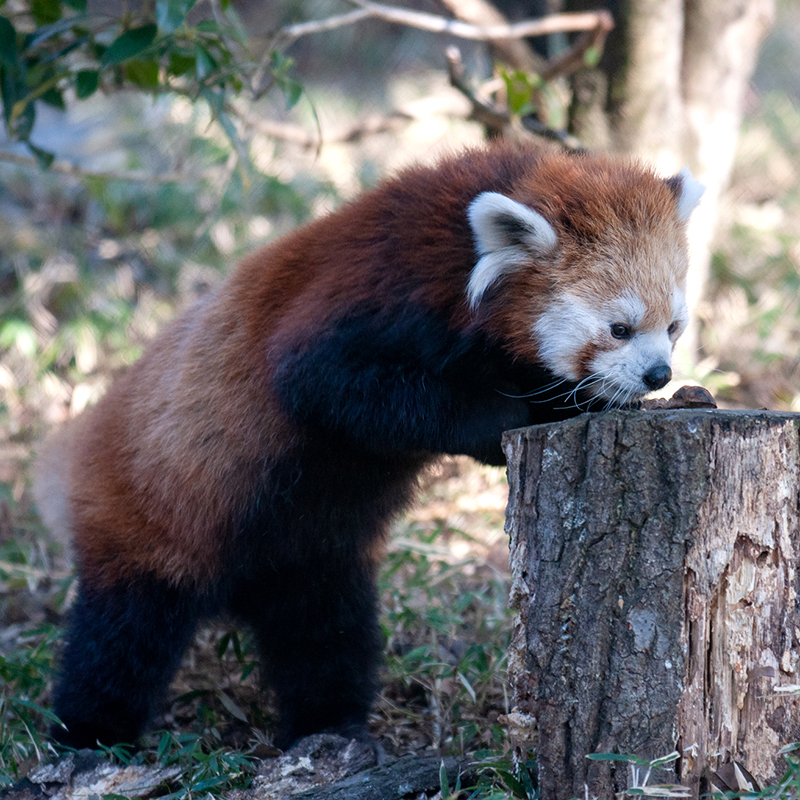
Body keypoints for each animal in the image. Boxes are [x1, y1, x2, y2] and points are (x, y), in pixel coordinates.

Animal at [34, 142, 704, 752]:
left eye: (672, 327)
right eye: (618, 328)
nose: (658, 375)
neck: (463, 255)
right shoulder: (373, 297)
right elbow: (333, 384)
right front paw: (511, 415)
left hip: (310, 556)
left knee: (324, 637)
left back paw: (331, 725)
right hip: (154, 519)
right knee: (124, 637)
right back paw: (88, 736)